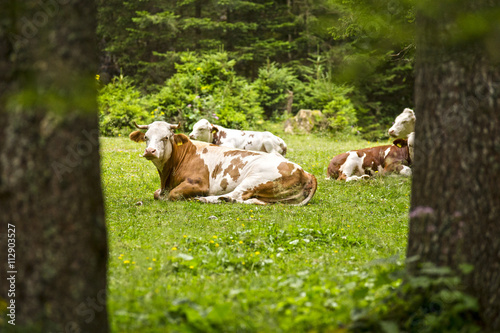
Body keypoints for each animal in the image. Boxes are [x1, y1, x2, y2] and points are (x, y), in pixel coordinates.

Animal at [129, 120, 316, 204]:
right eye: (146, 137)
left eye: (166, 137)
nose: (150, 151)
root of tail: (305, 172)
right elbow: (157, 193)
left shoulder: (198, 183)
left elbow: (174, 194)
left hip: (255, 179)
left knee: (233, 196)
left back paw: (205, 199)